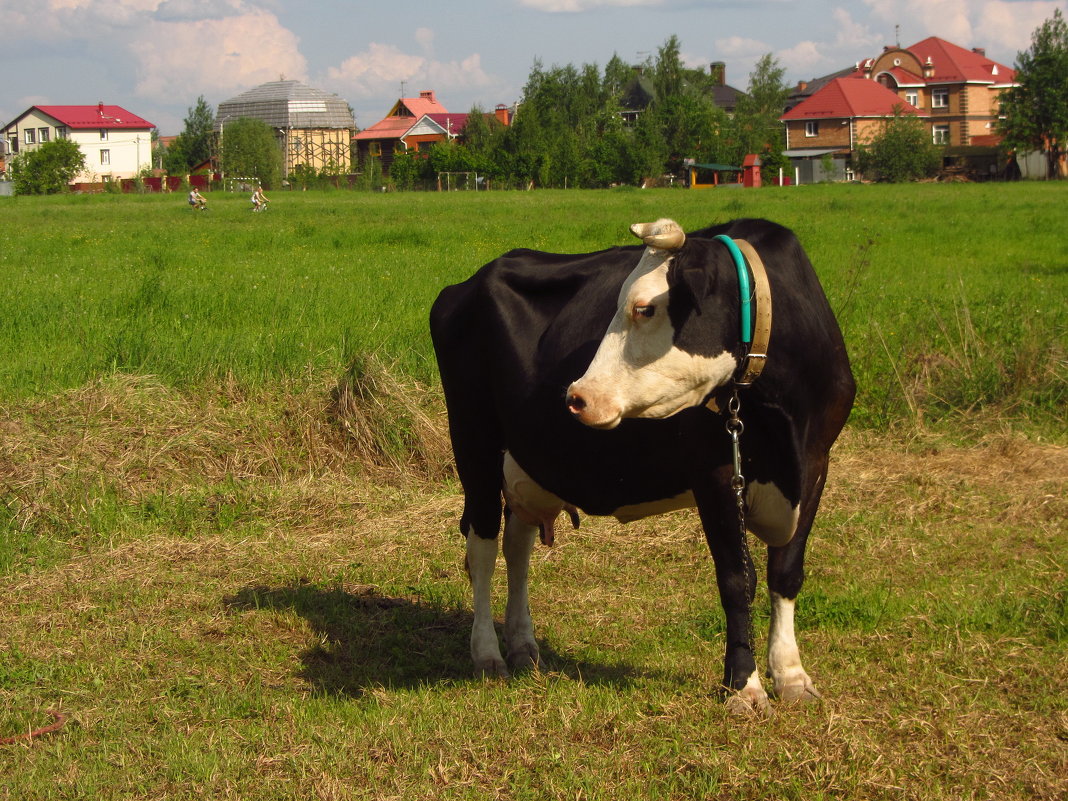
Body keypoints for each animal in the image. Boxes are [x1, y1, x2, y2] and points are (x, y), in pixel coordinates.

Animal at [429, 216, 854, 713]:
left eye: (645, 308)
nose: (578, 397)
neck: (783, 413)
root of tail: (470, 281)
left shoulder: (816, 465)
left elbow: (786, 572)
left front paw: (790, 674)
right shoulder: (715, 475)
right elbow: (737, 579)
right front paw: (744, 686)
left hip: (528, 460)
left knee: (518, 545)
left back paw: (522, 645)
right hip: (473, 443)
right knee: (482, 548)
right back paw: (488, 653)